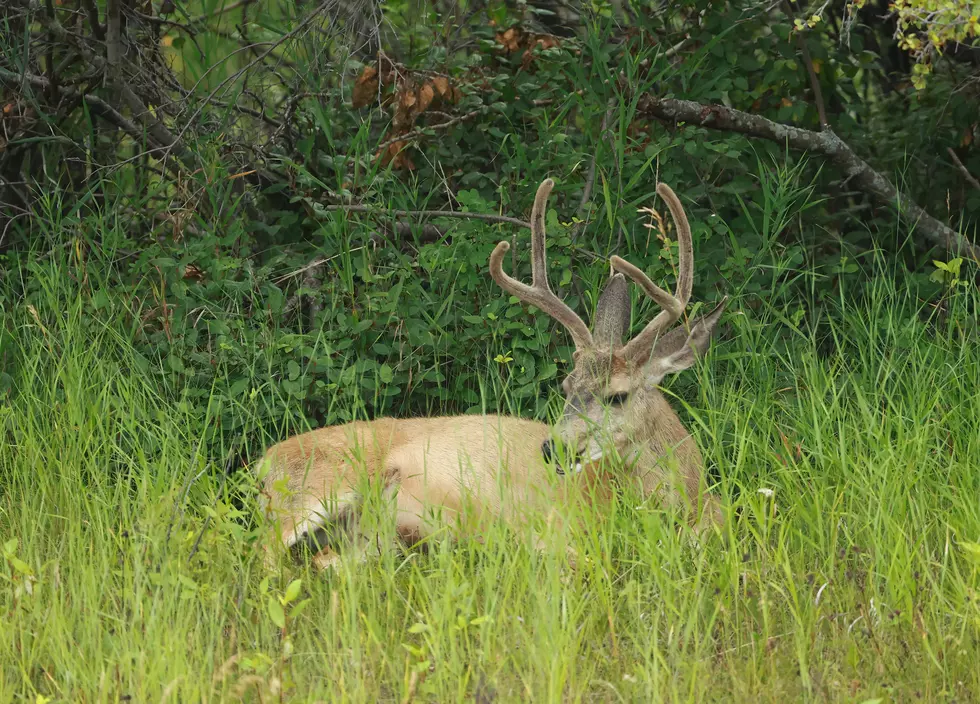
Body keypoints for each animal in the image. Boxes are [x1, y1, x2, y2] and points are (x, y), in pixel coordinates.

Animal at [255, 177, 727, 571]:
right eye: (566, 386)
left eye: (618, 395)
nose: (552, 449)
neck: (689, 502)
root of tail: (262, 464)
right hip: (318, 487)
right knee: (262, 558)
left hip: (360, 530)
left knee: (329, 560)